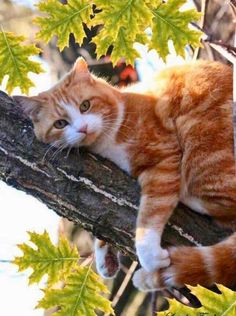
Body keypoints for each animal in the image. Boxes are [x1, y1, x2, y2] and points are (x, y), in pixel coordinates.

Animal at [13, 56, 236, 292]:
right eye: (60, 123)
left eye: (85, 105)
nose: (83, 128)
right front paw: (105, 256)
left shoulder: (163, 158)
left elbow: (151, 212)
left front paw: (149, 254)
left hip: (200, 144)